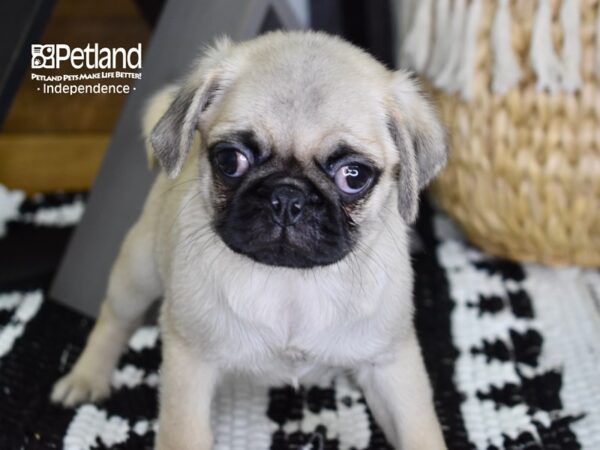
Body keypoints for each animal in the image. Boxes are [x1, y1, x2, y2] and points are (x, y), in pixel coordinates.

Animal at [50, 32, 446, 450]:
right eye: (230, 161)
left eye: (353, 176)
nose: (288, 197)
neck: (292, 286)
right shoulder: (190, 365)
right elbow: (183, 434)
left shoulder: (392, 365)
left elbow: (420, 433)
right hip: (137, 273)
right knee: (114, 319)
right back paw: (86, 377)